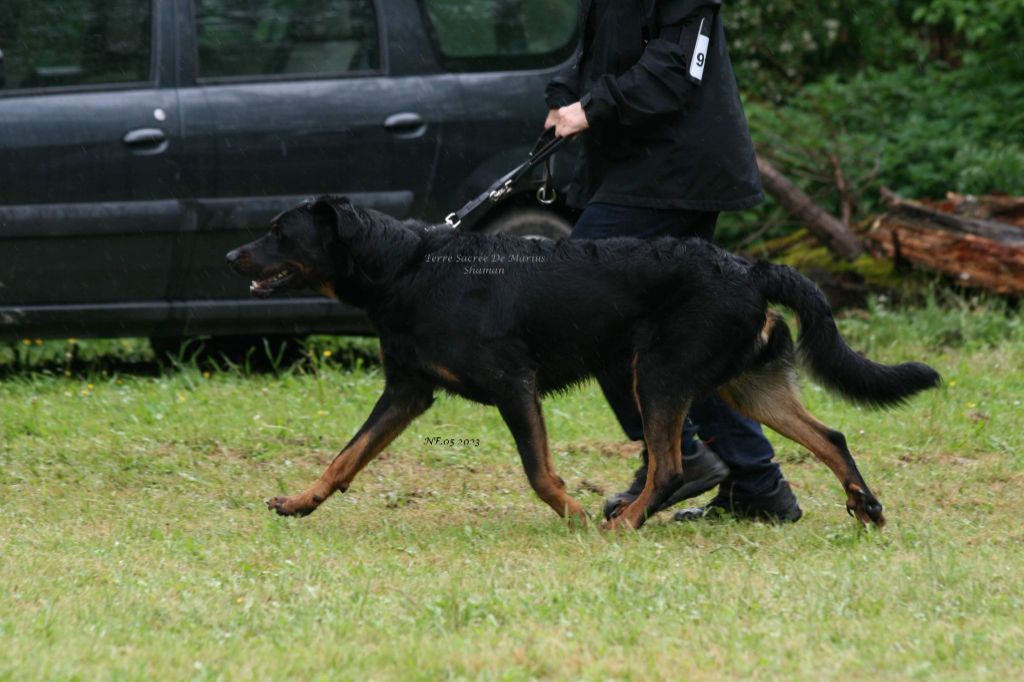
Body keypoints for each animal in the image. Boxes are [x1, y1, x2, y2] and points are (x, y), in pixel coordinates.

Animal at [228, 193, 937, 528]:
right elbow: (346, 456)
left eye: (279, 232)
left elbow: (540, 474)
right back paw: (865, 506)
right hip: (744, 384)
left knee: (671, 463)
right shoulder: (406, 390)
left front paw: (572, 515)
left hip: (656, 374)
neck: (407, 267)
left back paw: (624, 524)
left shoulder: (514, 386)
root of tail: (752, 268)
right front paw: (302, 501)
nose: (232, 256)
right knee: (830, 435)